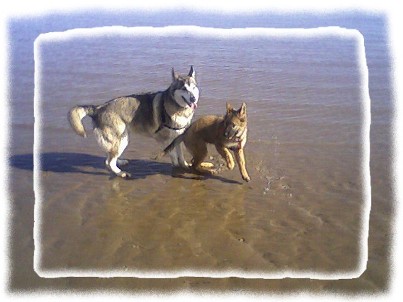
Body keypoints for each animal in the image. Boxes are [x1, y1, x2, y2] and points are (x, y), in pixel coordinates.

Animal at [70, 66, 202, 177]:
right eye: (184, 88)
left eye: (193, 87)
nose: (193, 98)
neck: (177, 108)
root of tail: (98, 108)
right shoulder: (164, 140)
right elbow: (174, 155)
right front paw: (176, 167)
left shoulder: (178, 138)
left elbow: (181, 155)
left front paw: (184, 165)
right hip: (122, 139)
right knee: (109, 162)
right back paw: (120, 173)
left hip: (118, 140)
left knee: (110, 156)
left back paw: (120, 162)